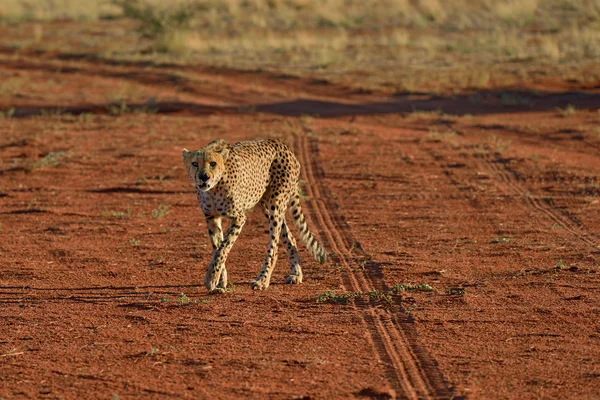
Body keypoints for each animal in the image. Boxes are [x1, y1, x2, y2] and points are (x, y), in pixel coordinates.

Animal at [182, 138, 326, 294]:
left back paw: (263, 280)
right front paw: (219, 282)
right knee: (290, 238)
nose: (204, 177)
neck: (213, 189)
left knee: (274, 247)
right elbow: (217, 248)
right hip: (266, 205)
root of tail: (280, 144)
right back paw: (296, 274)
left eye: (213, 163)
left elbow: (223, 248)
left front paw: (211, 278)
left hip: (276, 203)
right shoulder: (211, 218)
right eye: (195, 163)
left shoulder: (239, 217)